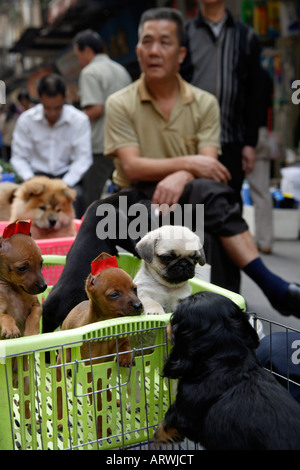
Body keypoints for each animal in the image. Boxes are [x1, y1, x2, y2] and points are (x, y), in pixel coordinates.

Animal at [57, 253, 144, 436]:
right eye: (114, 294)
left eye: (134, 289)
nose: (139, 305)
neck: (106, 327)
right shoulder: (93, 371)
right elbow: (97, 405)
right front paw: (102, 429)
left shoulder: (120, 341)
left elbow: (124, 346)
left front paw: (125, 357)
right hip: (63, 365)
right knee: (61, 394)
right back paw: (60, 421)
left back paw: (112, 399)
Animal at [155, 292, 300, 450]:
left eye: (175, 317)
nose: (168, 324)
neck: (229, 363)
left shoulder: (185, 409)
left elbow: (169, 419)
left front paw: (158, 435)